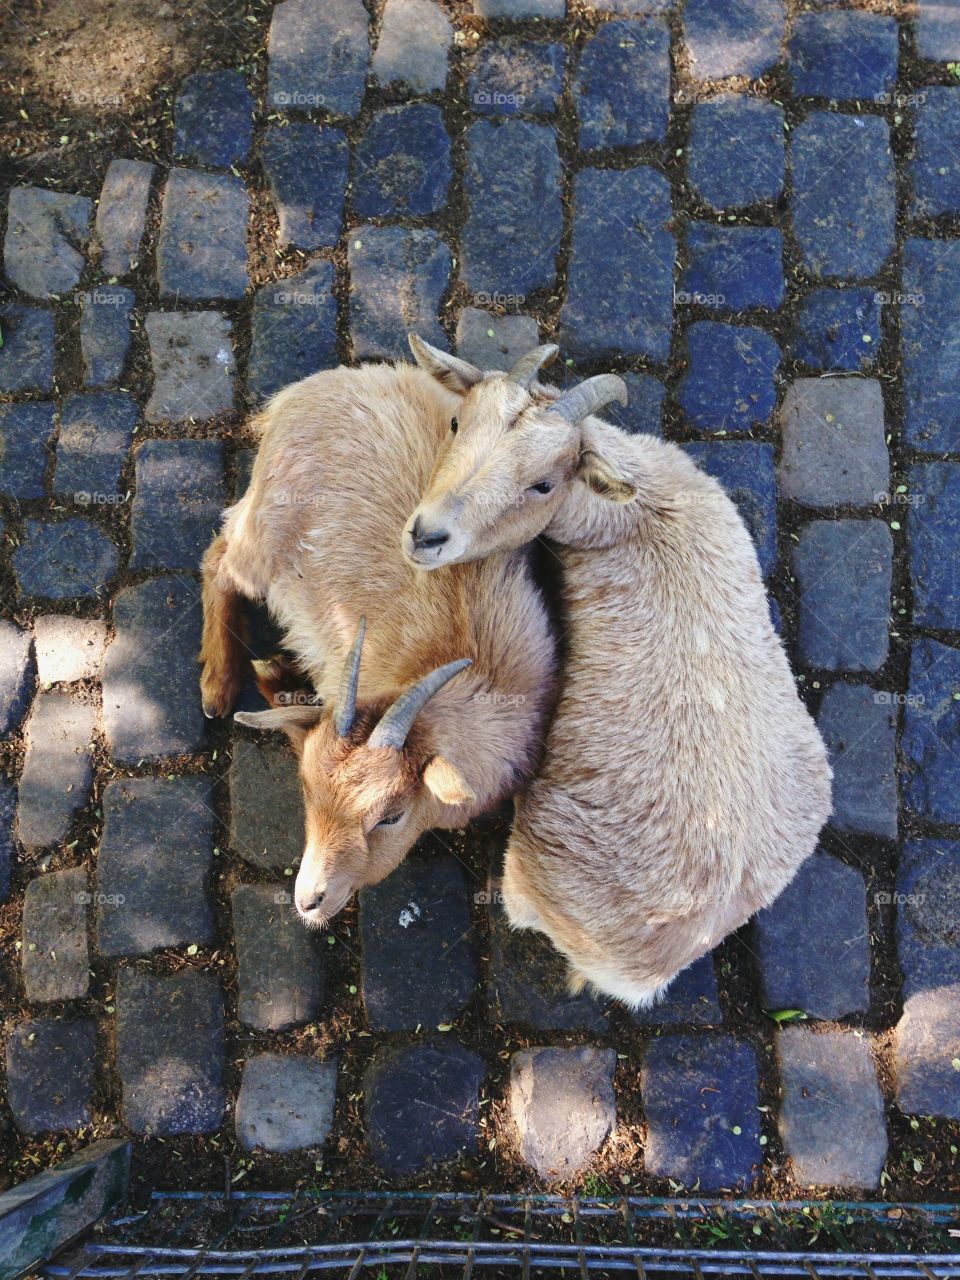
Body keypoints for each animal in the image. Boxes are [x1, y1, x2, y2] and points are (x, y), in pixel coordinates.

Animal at [199, 361, 557, 926]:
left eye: (391, 816)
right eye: (306, 789)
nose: (309, 899)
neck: (478, 675)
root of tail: (301, 394)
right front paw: (272, 677)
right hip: (260, 536)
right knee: (218, 559)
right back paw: (218, 683)